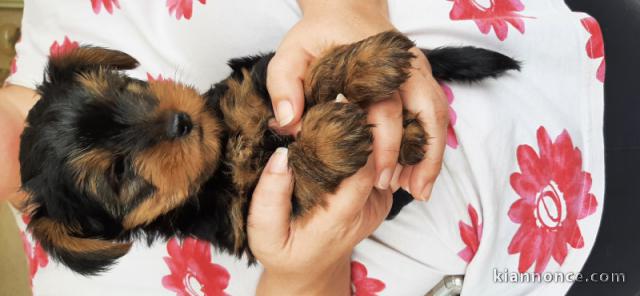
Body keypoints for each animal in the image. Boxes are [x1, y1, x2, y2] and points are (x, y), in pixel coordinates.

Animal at [18, 30, 520, 276]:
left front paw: (364, 65)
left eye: (127, 92)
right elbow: (296, 175)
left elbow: (305, 80)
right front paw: (330, 140)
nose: (180, 122)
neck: (223, 147)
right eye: (119, 173)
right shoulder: (248, 219)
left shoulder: (257, 84)